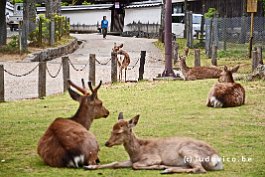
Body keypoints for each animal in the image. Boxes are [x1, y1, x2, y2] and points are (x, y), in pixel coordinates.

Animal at [83, 112, 223, 174]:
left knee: (200, 169)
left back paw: (166, 169)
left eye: (119, 132)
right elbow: (115, 163)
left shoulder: (153, 157)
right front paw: (89, 166)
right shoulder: (131, 160)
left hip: (187, 151)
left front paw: (158, 166)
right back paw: (167, 168)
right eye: (111, 130)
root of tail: (217, 159)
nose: (107, 143)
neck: (138, 152)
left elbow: (136, 166)